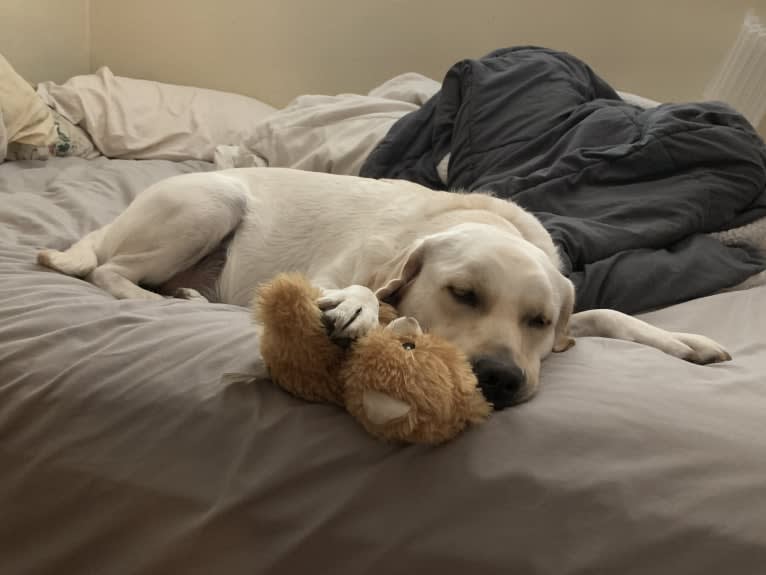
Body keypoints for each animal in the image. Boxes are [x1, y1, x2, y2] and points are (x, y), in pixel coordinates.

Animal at [39, 166, 736, 410]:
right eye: (462, 294)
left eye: (538, 321)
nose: (501, 378)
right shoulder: (329, 273)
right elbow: (365, 291)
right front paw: (358, 305)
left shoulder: (569, 321)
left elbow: (609, 313)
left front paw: (686, 341)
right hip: (211, 202)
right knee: (110, 272)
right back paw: (163, 301)